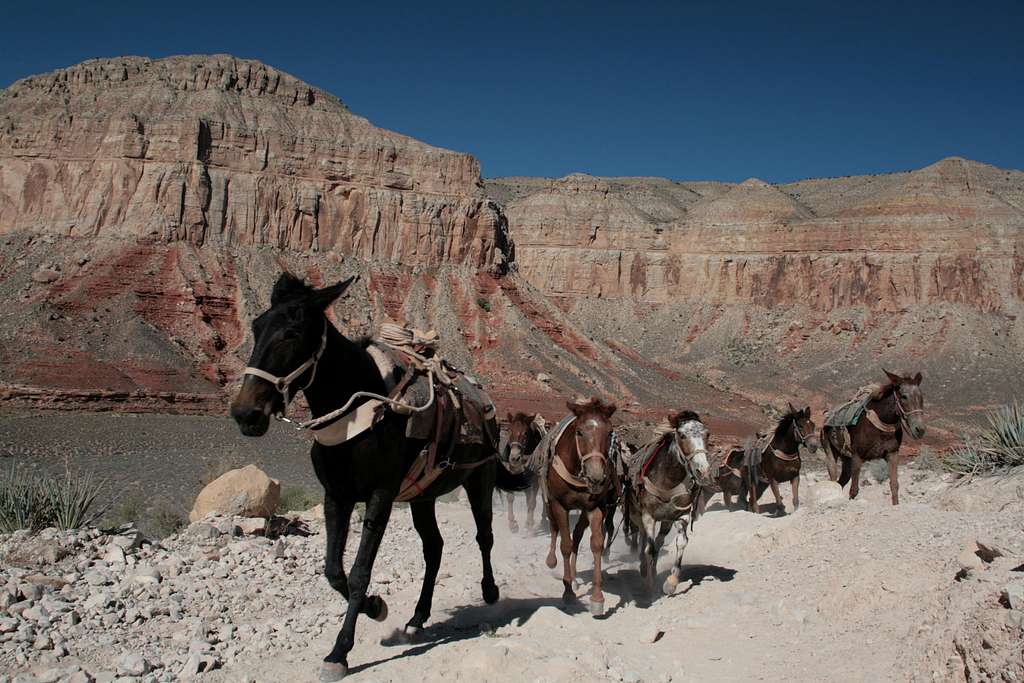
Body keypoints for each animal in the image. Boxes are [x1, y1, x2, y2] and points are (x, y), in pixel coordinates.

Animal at [544, 397, 614, 618]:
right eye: (580, 432)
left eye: (610, 433)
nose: (597, 478)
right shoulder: (559, 505)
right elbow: (565, 545)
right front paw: (567, 593)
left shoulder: (595, 507)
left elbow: (596, 545)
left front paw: (597, 598)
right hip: (549, 504)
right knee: (555, 529)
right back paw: (553, 562)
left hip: (584, 511)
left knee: (577, 534)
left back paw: (574, 578)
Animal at [823, 370, 929, 505]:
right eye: (904, 396)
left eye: (921, 397)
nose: (920, 429)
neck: (881, 424)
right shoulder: (857, 457)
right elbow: (854, 490)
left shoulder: (892, 454)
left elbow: (894, 485)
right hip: (831, 455)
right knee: (833, 481)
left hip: (846, 459)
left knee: (841, 482)